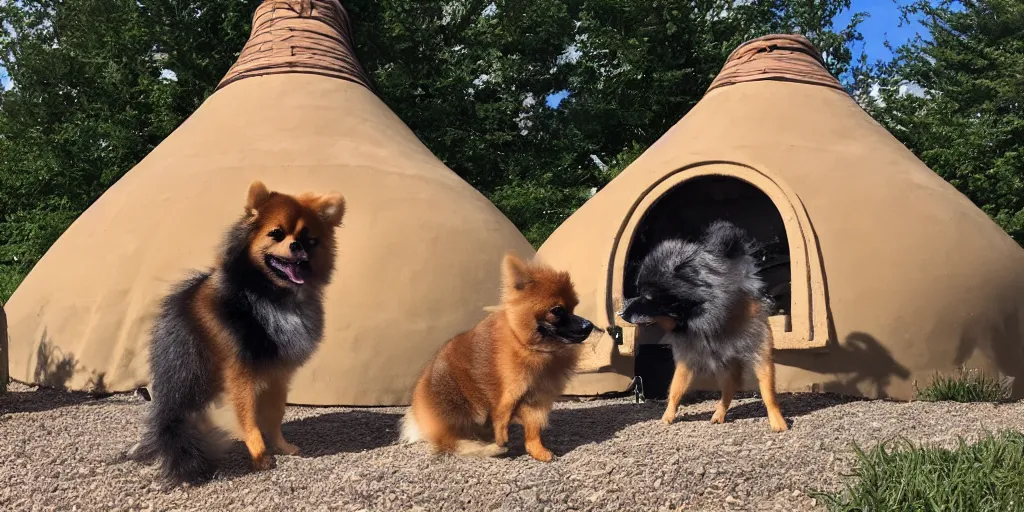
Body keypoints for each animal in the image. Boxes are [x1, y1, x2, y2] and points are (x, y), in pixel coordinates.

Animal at [130, 180, 346, 483]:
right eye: (277, 234)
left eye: (310, 240)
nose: (297, 245)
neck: (269, 295)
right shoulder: (240, 374)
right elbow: (248, 418)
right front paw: (258, 454)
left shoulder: (278, 374)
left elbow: (274, 416)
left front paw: (281, 446)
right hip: (190, 373)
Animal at [397, 253, 593, 462]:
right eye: (557, 310)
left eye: (573, 308)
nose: (589, 325)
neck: (526, 344)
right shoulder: (510, 390)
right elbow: (502, 416)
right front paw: (501, 441)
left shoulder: (535, 397)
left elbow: (533, 430)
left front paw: (537, 450)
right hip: (453, 402)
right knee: (448, 443)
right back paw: (487, 448)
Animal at [618, 220, 786, 432]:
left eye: (648, 297)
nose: (621, 313)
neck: (704, 319)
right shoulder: (688, 358)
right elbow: (675, 390)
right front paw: (667, 416)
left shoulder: (758, 352)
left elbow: (767, 390)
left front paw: (777, 420)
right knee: (728, 389)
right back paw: (719, 413)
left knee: (730, 389)